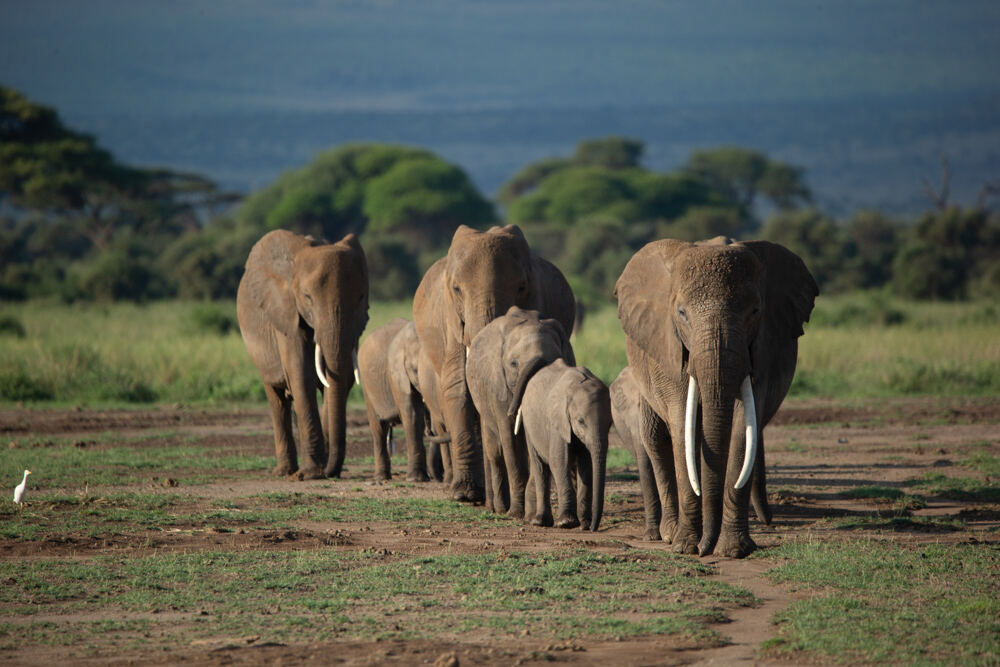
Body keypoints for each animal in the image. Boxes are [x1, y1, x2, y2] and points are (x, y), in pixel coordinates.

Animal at [237, 230, 368, 479]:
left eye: (360, 298)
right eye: (307, 297)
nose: (331, 472)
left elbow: (341, 379)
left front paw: (319, 470)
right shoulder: (285, 313)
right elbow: (301, 376)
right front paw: (311, 474)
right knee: (277, 399)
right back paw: (285, 471)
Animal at [466, 307, 574, 518]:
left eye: (558, 358)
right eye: (513, 364)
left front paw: (529, 513)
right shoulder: (500, 385)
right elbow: (510, 439)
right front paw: (515, 513)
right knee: (494, 451)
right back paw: (499, 508)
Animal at [520, 359, 610, 532]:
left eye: (610, 424)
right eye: (580, 421)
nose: (593, 528)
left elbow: (586, 466)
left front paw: (584, 524)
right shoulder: (558, 422)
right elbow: (558, 461)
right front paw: (566, 523)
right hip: (528, 425)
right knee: (539, 466)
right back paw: (540, 522)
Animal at [615, 238, 817, 557]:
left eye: (755, 311)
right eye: (681, 313)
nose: (704, 548)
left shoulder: (761, 353)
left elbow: (742, 428)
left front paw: (733, 551)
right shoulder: (671, 351)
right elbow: (682, 427)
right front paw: (685, 547)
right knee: (656, 439)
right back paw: (669, 534)